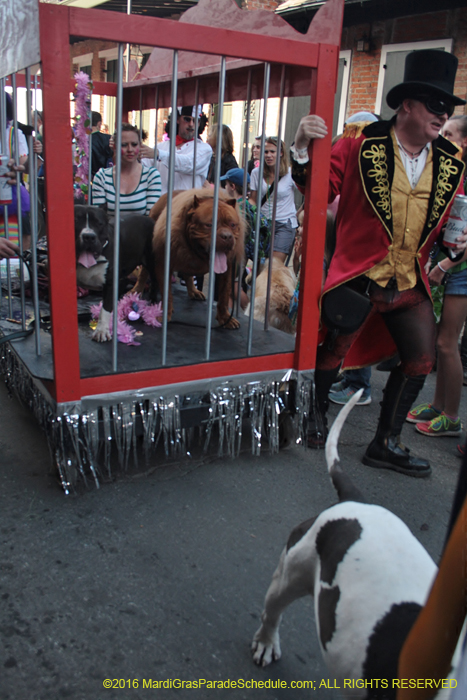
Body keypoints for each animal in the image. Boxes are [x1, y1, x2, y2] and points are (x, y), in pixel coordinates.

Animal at [75, 205, 157, 342]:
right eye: (76, 221)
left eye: (99, 223)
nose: (88, 236)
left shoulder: (111, 284)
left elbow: (105, 309)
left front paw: (101, 331)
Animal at [145, 189, 245, 330]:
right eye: (209, 225)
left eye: (233, 225)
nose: (227, 236)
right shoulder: (163, 263)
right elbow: (167, 293)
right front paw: (165, 314)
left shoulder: (228, 269)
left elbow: (224, 294)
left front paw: (225, 318)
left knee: (188, 275)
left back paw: (193, 291)